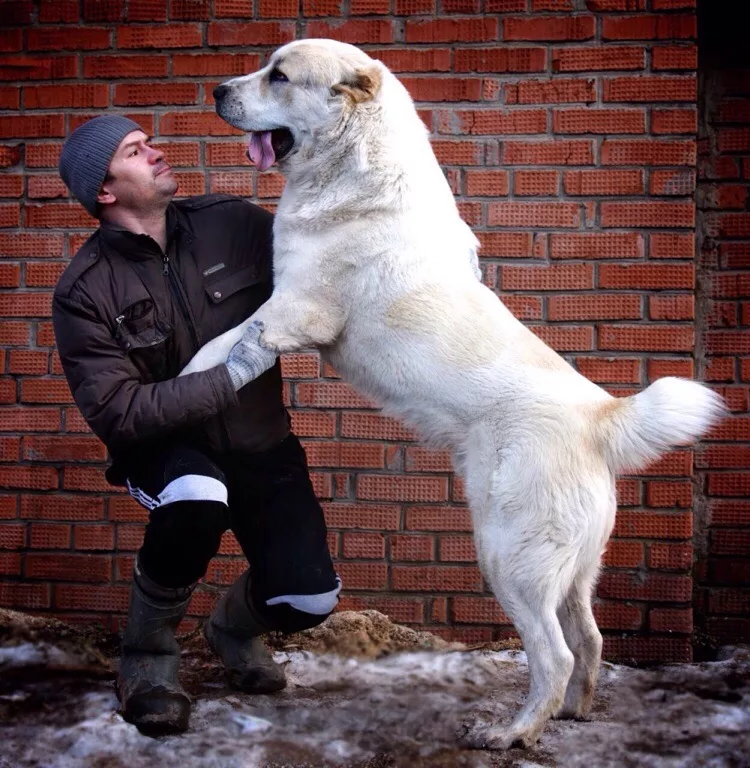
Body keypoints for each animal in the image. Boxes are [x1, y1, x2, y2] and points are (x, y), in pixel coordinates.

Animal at [182, 40, 728, 752]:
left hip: (509, 558)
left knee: (554, 654)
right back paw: (571, 714)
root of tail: (599, 417)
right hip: (573, 568)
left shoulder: (292, 313)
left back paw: (513, 732)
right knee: (588, 639)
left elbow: (218, 347)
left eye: (279, 76)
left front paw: (174, 382)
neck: (356, 168)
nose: (218, 91)